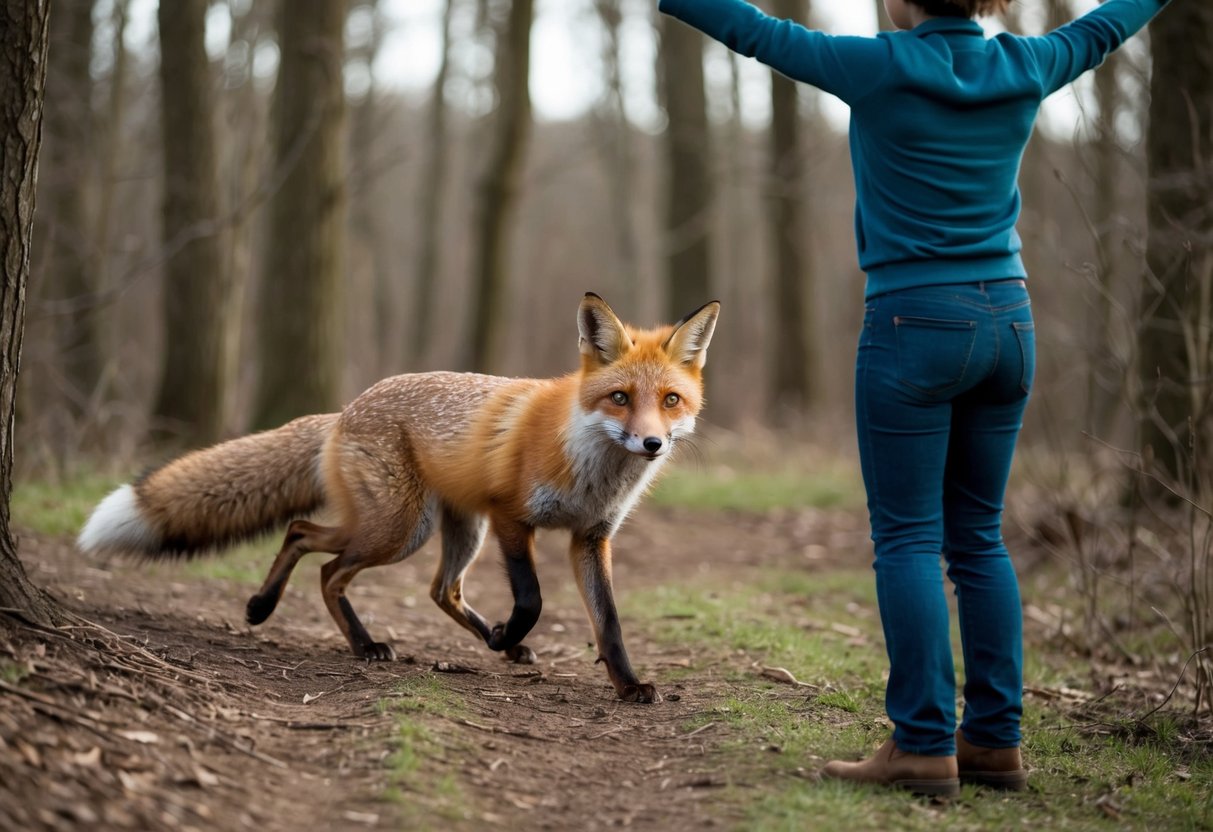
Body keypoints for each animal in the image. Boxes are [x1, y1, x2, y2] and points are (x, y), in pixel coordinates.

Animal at [78, 293, 719, 703]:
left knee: (434, 587)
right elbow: (532, 600)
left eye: (670, 400)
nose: (652, 443)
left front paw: (628, 685)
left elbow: (608, 622)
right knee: (317, 553)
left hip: (450, 530)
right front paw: (513, 633)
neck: (590, 467)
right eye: (619, 397)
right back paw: (331, 632)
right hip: (401, 529)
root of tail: (343, 411)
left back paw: (488, 643)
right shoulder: (513, 519)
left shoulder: (591, 536)